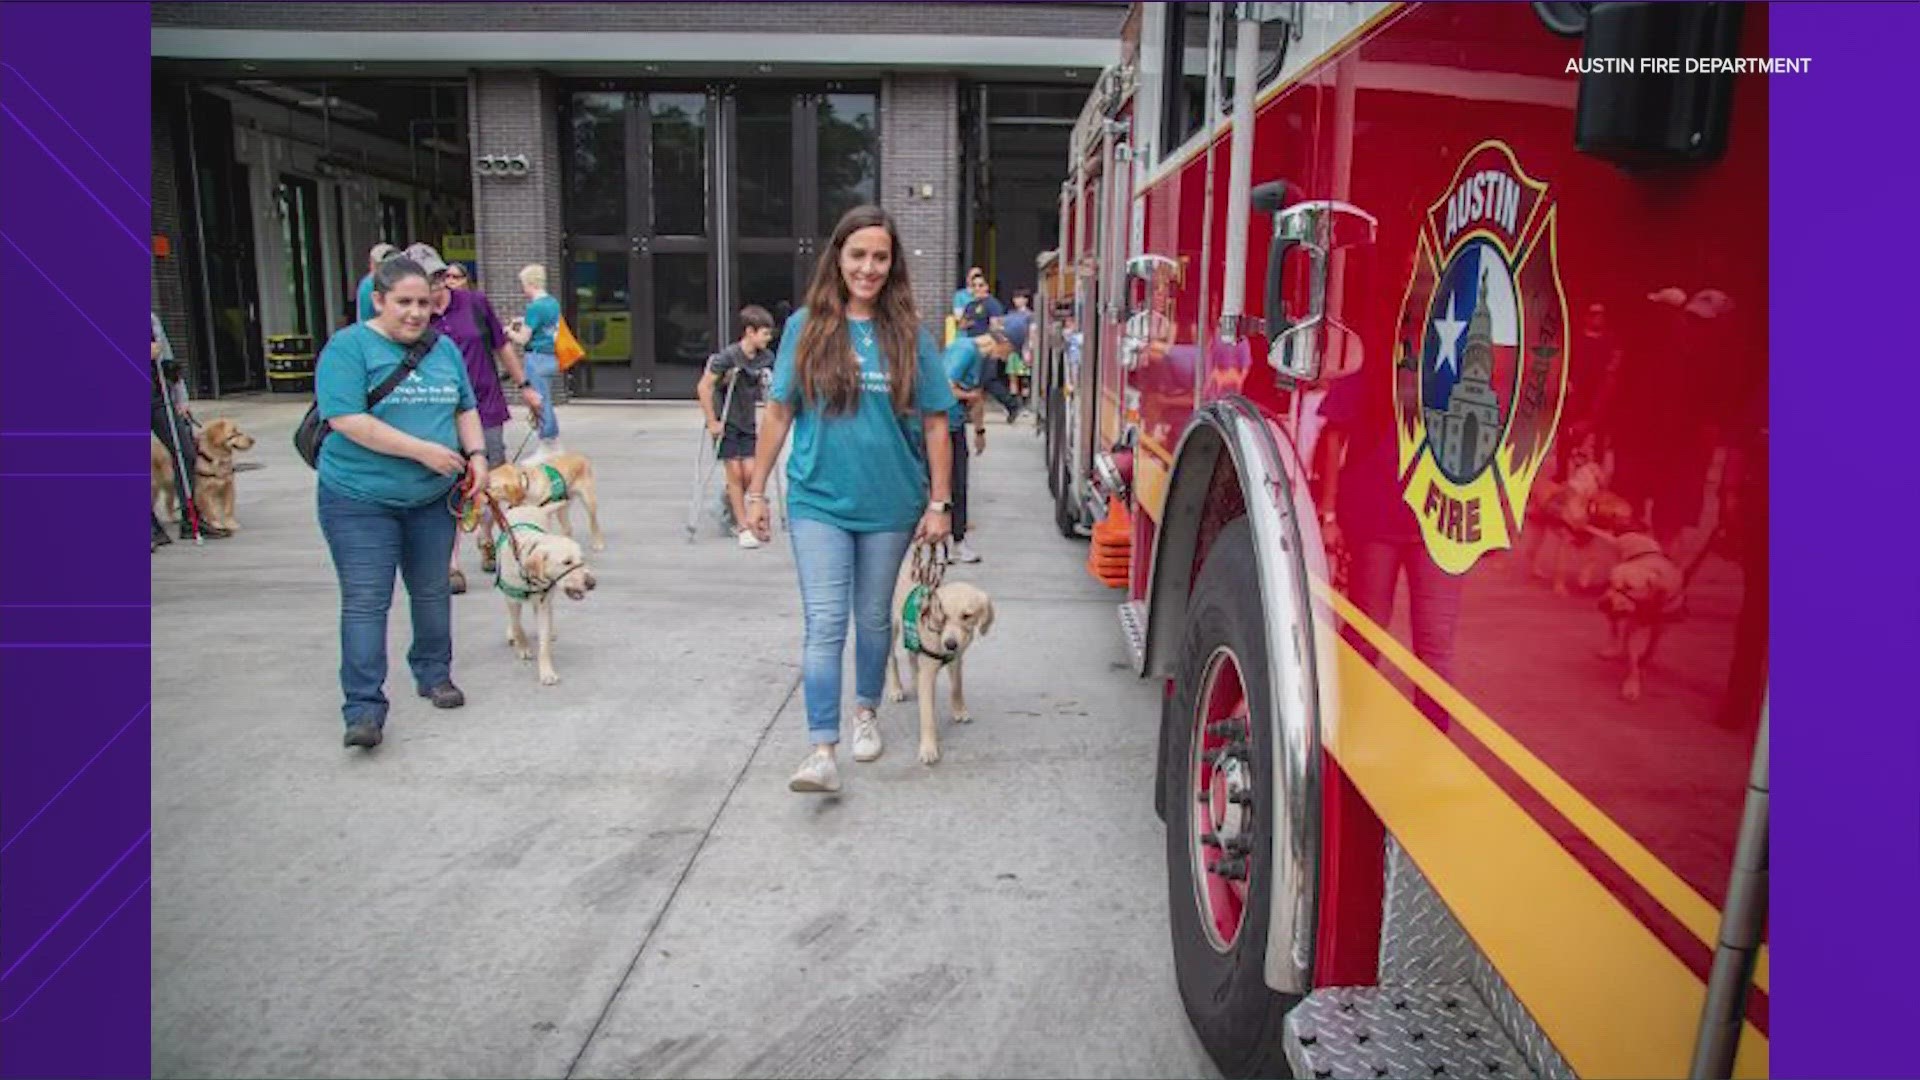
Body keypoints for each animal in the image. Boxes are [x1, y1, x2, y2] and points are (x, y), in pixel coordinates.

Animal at [883, 557, 998, 760]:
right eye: (943, 616)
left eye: (967, 616)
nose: (950, 644)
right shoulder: (929, 671)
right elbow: (928, 715)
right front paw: (928, 748)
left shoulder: (956, 660)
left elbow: (957, 687)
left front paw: (959, 710)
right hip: (892, 628)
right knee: (892, 658)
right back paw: (896, 689)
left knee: (912, 656)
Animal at [1597, 530, 1689, 699]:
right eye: (1611, 583)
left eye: (1629, 587)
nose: (1601, 603)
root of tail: (1628, 535)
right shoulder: (1634, 624)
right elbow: (1633, 659)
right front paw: (1632, 685)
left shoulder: (1661, 627)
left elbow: (1651, 648)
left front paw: (1644, 663)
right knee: (1615, 628)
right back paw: (1612, 649)